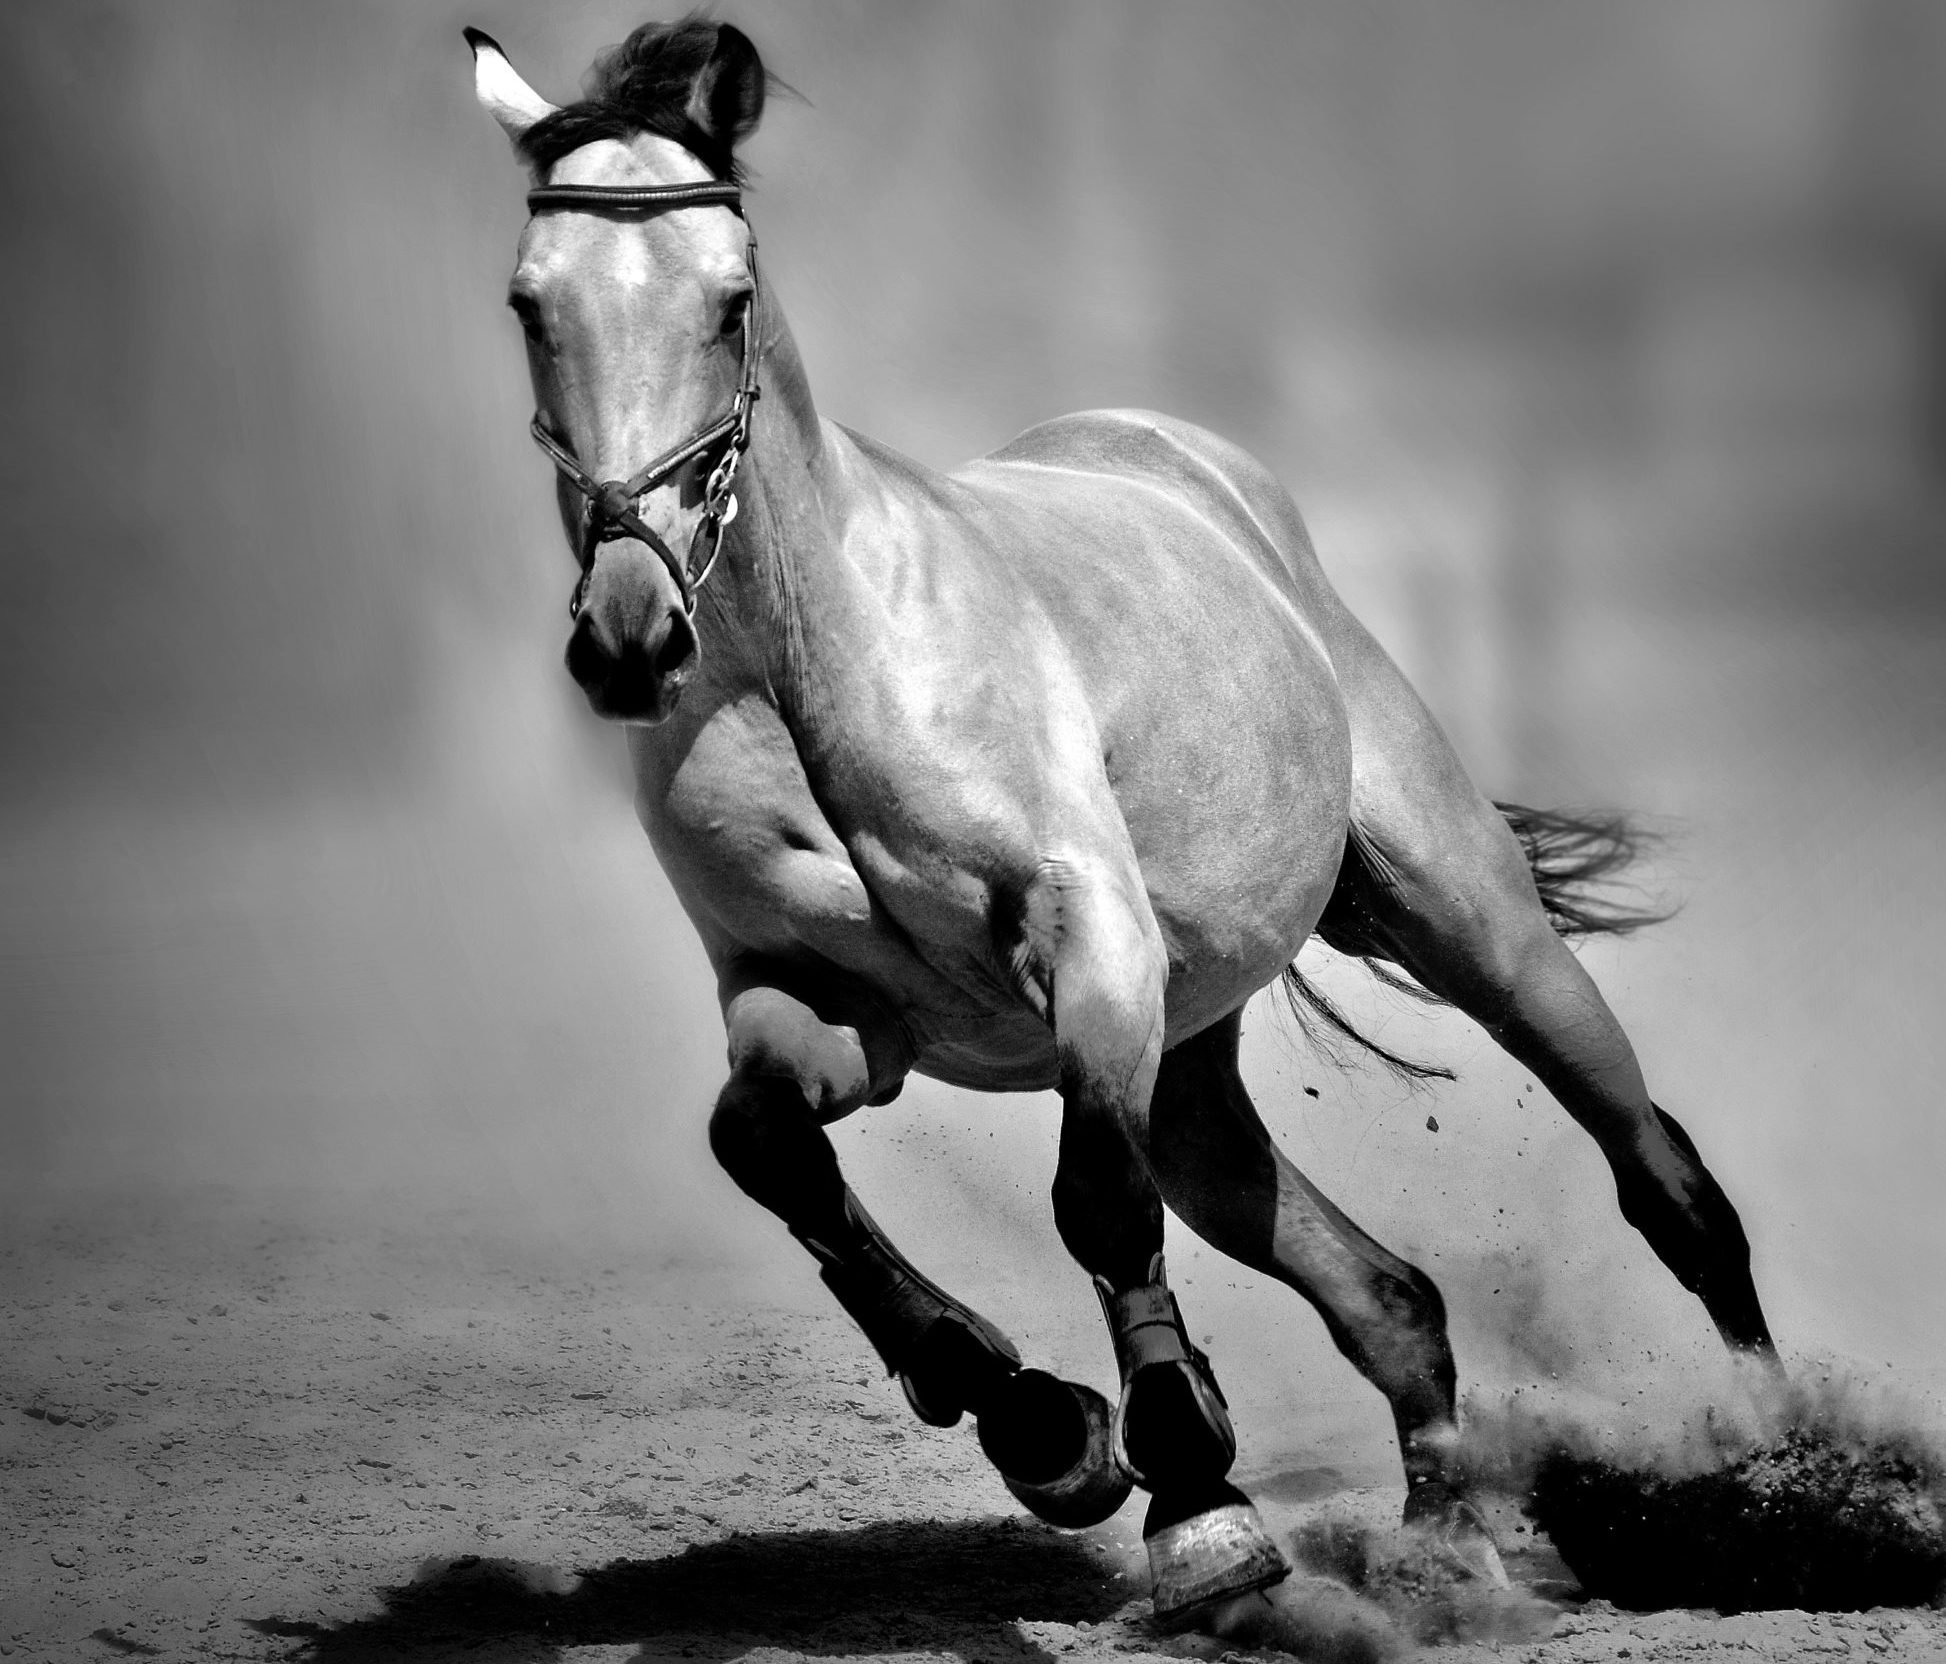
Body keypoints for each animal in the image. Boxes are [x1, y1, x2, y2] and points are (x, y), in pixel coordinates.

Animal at [466, 17, 1777, 1626]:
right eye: (531, 304)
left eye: (731, 302)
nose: (630, 638)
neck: (809, 667)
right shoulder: (819, 1001)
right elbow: (764, 1142)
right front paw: (1041, 1422)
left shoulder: (1092, 946)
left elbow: (1092, 1197)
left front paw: (1194, 1502)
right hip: (1199, 1067)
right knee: (1383, 1293)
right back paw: (1441, 1548)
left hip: (1474, 933)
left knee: (1664, 1182)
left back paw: (1784, 1468)